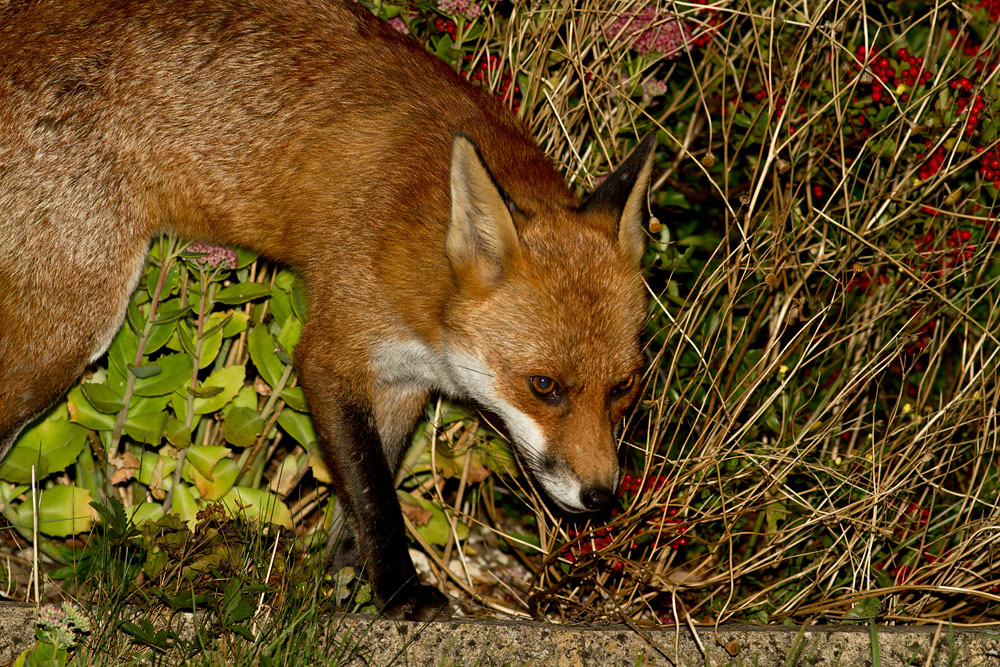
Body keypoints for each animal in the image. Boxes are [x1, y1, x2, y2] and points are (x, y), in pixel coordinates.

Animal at [0, 0, 656, 619]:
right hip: (70, 330)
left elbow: (359, 499)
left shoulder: (403, 380)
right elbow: (375, 495)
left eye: (624, 387)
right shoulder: (332, 354)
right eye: (543, 386)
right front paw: (401, 593)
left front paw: (351, 589)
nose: (602, 498)